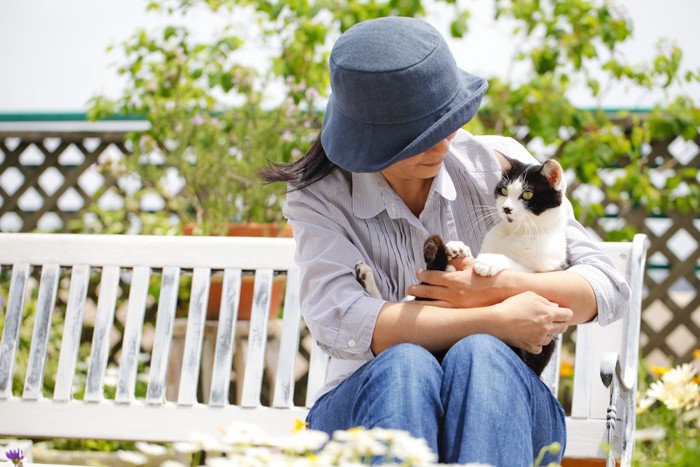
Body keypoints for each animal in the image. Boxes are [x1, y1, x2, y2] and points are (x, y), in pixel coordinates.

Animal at [356, 154, 568, 376]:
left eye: (527, 194)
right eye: (504, 191)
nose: (506, 208)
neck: (517, 233)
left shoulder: (547, 268)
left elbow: (517, 265)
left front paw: (489, 261)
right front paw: (457, 248)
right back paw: (366, 275)